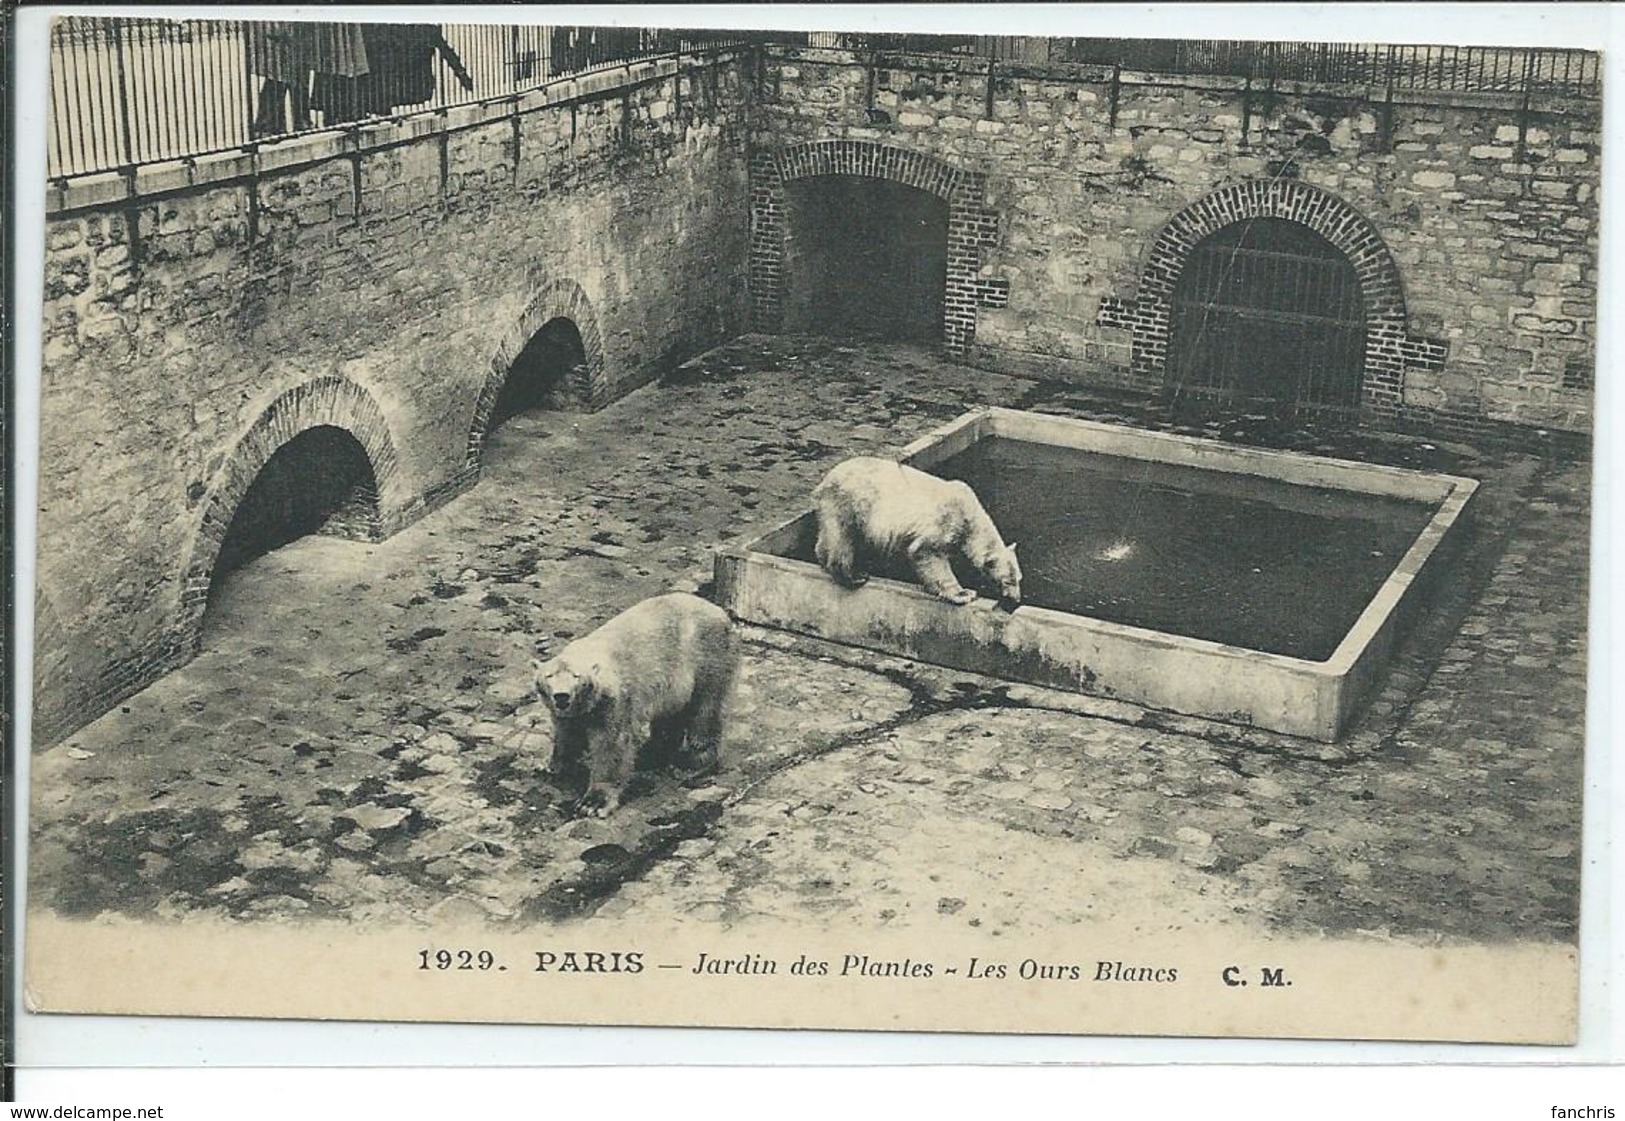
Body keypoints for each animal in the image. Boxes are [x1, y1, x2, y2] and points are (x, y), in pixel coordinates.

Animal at [533, 588, 737, 815]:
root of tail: (721, 612)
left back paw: (691, 762)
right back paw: (651, 754)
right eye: (549, 676)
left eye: (576, 676)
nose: (561, 695)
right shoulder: (569, 713)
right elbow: (567, 734)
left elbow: (612, 744)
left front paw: (593, 803)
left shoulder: (614, 702)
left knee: (704, 710)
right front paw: (550, 767)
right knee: (670, 716)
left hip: (706, 656)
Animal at [812, 454, 1027, 601]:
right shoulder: (945, 521)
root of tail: (826, 480)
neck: (971, 515)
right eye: (1008, 580)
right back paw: (854, 576)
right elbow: (928, 553)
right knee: (843, 538)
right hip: (853, 502)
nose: (1015, 599)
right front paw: (963, 593)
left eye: (1019, 578)